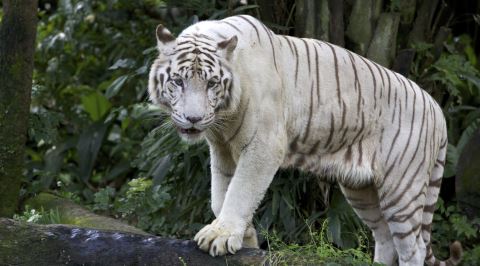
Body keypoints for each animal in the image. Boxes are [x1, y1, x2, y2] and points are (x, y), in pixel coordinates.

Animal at [149, 15, 462, 266]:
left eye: (212, 83)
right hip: (361, 189)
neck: (224, 118)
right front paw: (244, 235)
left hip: (402, 189)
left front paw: (222, 235)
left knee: (412, 248)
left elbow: (240, 191)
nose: (193, 119)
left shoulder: (263, 146)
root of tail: (437, 108)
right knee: (385, 238)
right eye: (177, 81)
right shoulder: (222, 149)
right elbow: (220, 197)